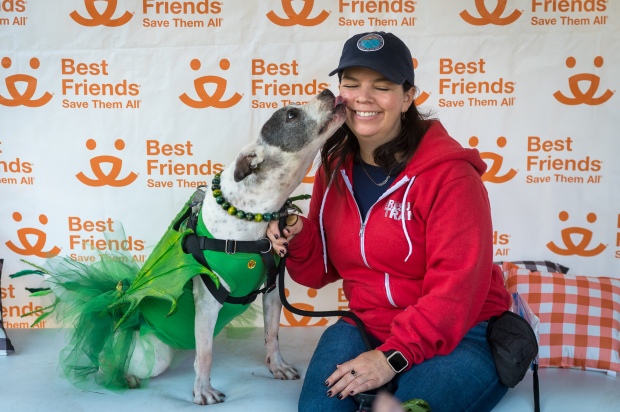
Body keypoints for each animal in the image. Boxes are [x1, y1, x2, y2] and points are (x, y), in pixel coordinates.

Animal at [117, 88, 348, 404]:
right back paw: (123, 376)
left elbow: (272, 335)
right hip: (152, 355)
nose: (327, 91)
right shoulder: (208, 302)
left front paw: (276, 366)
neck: (251, 211)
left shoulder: (272, 293)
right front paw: (203, 391)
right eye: (291, 115)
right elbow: (205, 355)